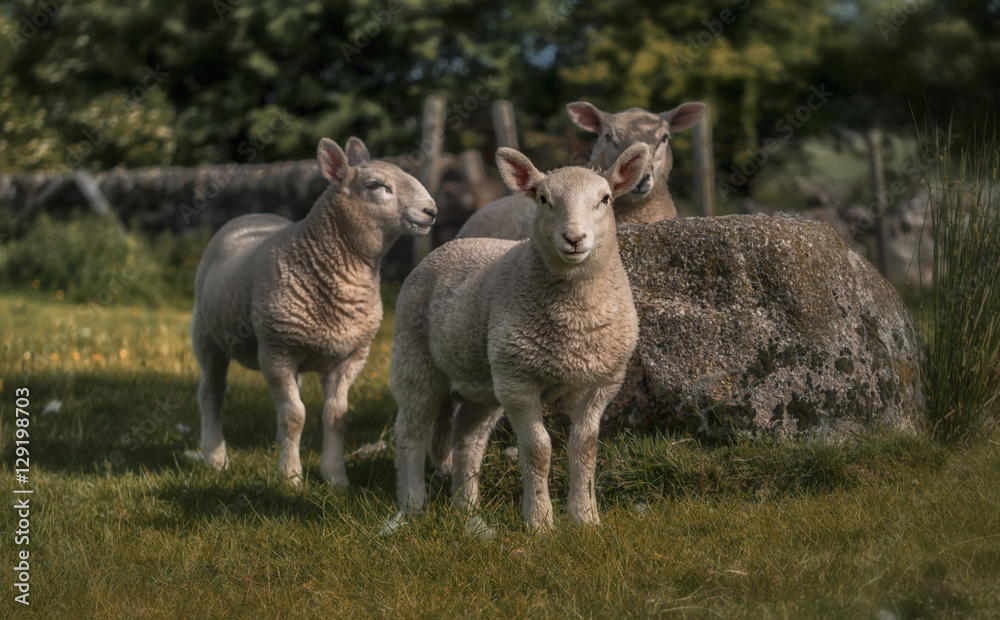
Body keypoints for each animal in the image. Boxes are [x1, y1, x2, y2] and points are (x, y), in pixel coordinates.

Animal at [191, 137, 437, 487]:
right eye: (376, 186)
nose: (431, 211)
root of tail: (252, 214)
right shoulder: (277, 352)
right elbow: (294, 416)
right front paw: (291, 477)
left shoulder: (351, 356)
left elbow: (335, 416)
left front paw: (335, 477)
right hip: (206, 335)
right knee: (212, 393)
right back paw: (215, 456)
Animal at [386, 143, 648, 534]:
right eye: (543, 199)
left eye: (604, 199)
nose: (574, 239)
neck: (574, 319)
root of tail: (451, 244)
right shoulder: (520, 384)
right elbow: (538, 451)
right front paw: (540, 522)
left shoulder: (600, 383)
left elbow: (585, 448)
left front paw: (585, 518)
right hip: (416, 360)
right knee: (410, 432)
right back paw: (412, 504)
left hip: (484, 381)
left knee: (467, 438)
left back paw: (467, 506)